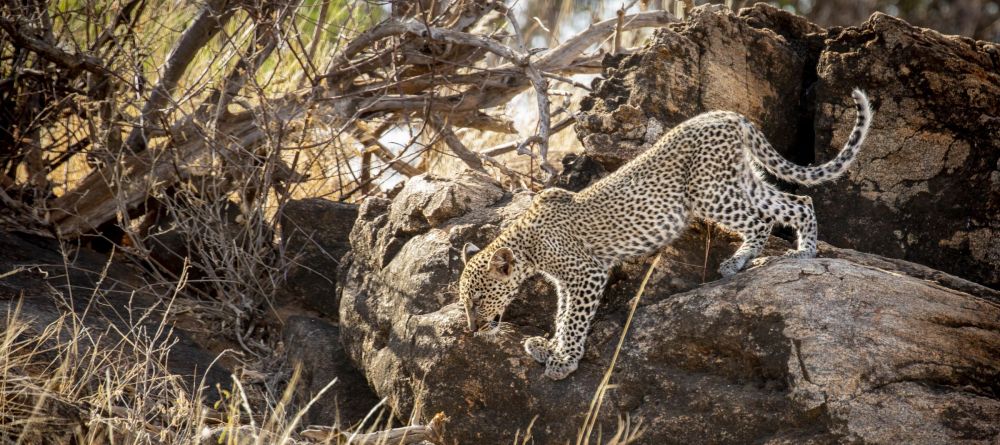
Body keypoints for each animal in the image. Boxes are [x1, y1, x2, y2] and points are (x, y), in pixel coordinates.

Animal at [458, 89, 872, 378]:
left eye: (478, 299)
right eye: (466, 302)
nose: (472, 328)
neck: (527, 247)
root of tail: (729, 115)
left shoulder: (587, 274)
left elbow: (574, 319)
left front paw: (564, 361)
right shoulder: (566, 282)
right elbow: (563, 316)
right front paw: (549, 347)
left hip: (709, 191)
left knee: (765, 217)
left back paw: (786, 256)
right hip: (741, 179)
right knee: (797, 201)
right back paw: (780, 254)